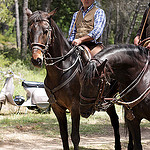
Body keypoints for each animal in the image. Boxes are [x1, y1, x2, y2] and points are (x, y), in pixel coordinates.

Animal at [26, 8, 120, 150]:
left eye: (46, 31)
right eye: (30, 31)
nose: (36, 59)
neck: (61, 70)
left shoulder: (75, 107)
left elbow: (75, 137)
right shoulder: (57, 108)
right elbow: (63, 135)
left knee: (116, 121)